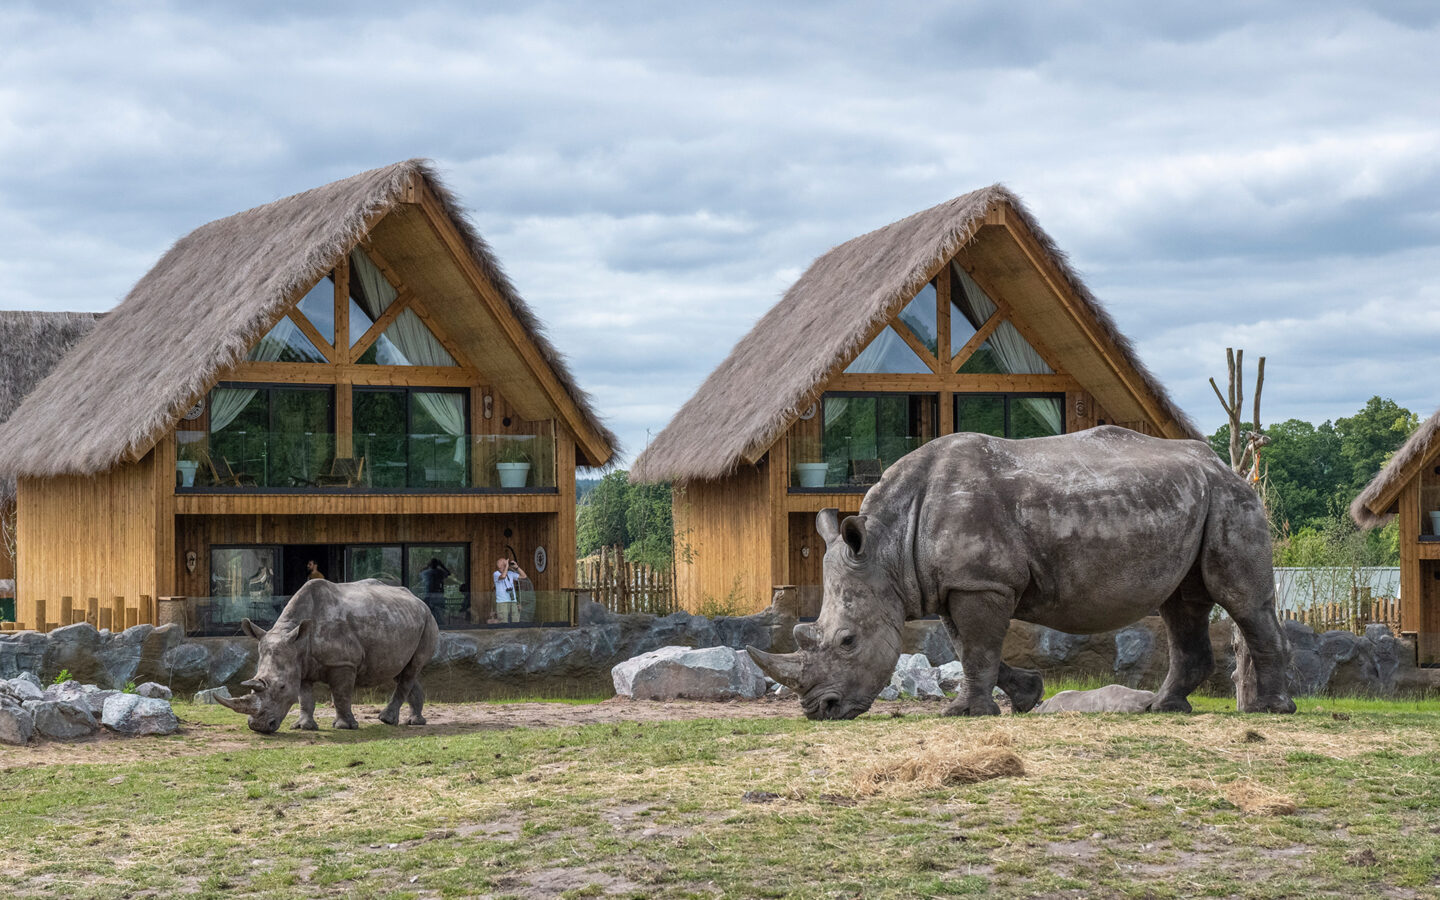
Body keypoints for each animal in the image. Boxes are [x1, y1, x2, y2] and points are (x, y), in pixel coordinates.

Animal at [216, 579, 439, 733]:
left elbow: (340, 694)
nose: (259, 727)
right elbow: (305, 698)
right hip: (401, 620)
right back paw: (415, 722)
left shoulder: (343, 662)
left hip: (428, 620)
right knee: (401, 670)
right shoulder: (300, 663)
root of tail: (419, 600)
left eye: (282, 687)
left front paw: (344, 727)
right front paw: (304, 727)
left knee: (411, 669)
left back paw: (387, 720)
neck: (298, 642)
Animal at [748, 426, 1296, 720]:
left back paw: (1270, 710)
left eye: (847, 641)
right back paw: (1162, 708)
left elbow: (976, 648)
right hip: (1194, 500)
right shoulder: (958, 583)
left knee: (1241, 601)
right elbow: (967, 647)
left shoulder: (981, 582)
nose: (820, 711)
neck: (887, 548)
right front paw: (1025, 698)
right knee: (1182, 604)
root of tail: (1223, 464)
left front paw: (963, 713)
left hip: (1232, 500)